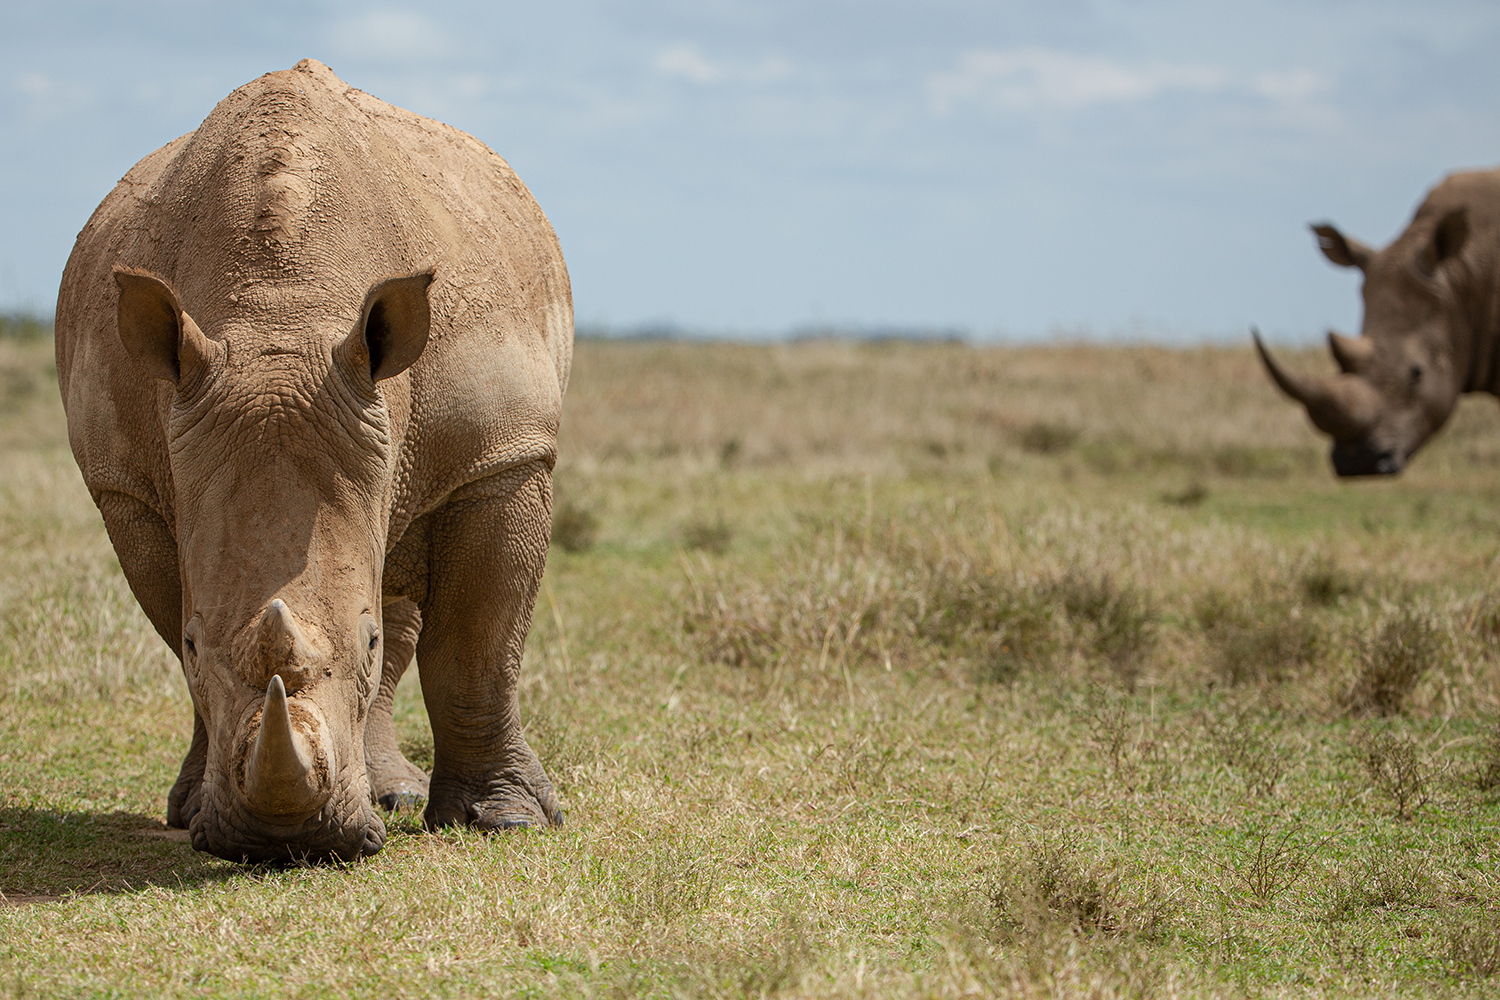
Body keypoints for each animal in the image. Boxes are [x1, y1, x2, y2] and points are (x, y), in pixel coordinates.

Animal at [52, 60, 567, 863]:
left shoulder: (500, 456)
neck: (283, 314)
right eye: (196, 643)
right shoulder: (130, 485)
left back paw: (400, 797)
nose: (282, 843)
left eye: (367, 642)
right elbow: (179, 632)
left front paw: (506, 822)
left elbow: (476, 650)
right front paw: (196, 810)